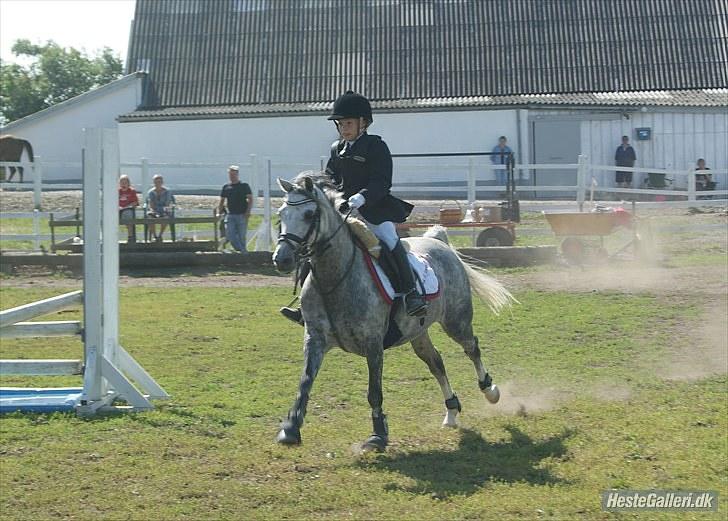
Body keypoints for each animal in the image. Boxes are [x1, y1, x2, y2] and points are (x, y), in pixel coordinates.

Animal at [272, 173, 516, 448]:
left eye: (309, 214)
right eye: (281, 214)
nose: (281, 259)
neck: (335, 276)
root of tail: (437, 241)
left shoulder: (373, 343)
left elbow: (374, 392)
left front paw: (378, 435)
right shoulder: (315, 339)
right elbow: (304, 383)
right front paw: (291, 428)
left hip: (456, 321)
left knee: (472, 348)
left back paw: (490, 391)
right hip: (417, 331)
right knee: (436, 362)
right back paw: (451, 412)